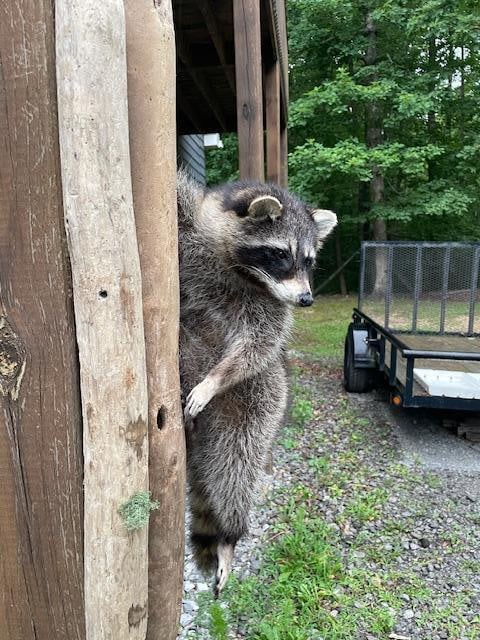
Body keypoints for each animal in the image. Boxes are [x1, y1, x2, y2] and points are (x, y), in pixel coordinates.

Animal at [178, 171, 337, 595]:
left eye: (309, 260)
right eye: (280, 254)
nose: (307, 300)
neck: (241, 273)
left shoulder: (269, 307)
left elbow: (258, 345)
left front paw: (215, 378)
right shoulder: (192, 240)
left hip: (263, 394)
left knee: (237, 462)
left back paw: (230, 535)